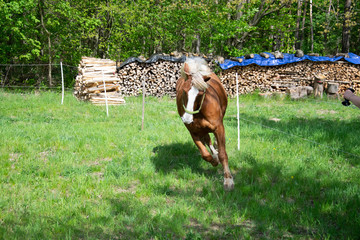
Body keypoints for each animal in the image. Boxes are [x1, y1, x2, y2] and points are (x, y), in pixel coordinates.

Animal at [176, 57, 235, 190]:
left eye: (201, 93)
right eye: (184, 91)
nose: (187, 118)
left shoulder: (218, 128)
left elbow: (223, 154)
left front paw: (228, 180)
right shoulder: (194, 132)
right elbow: (204, 154)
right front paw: (214, 161)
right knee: (207, 140)